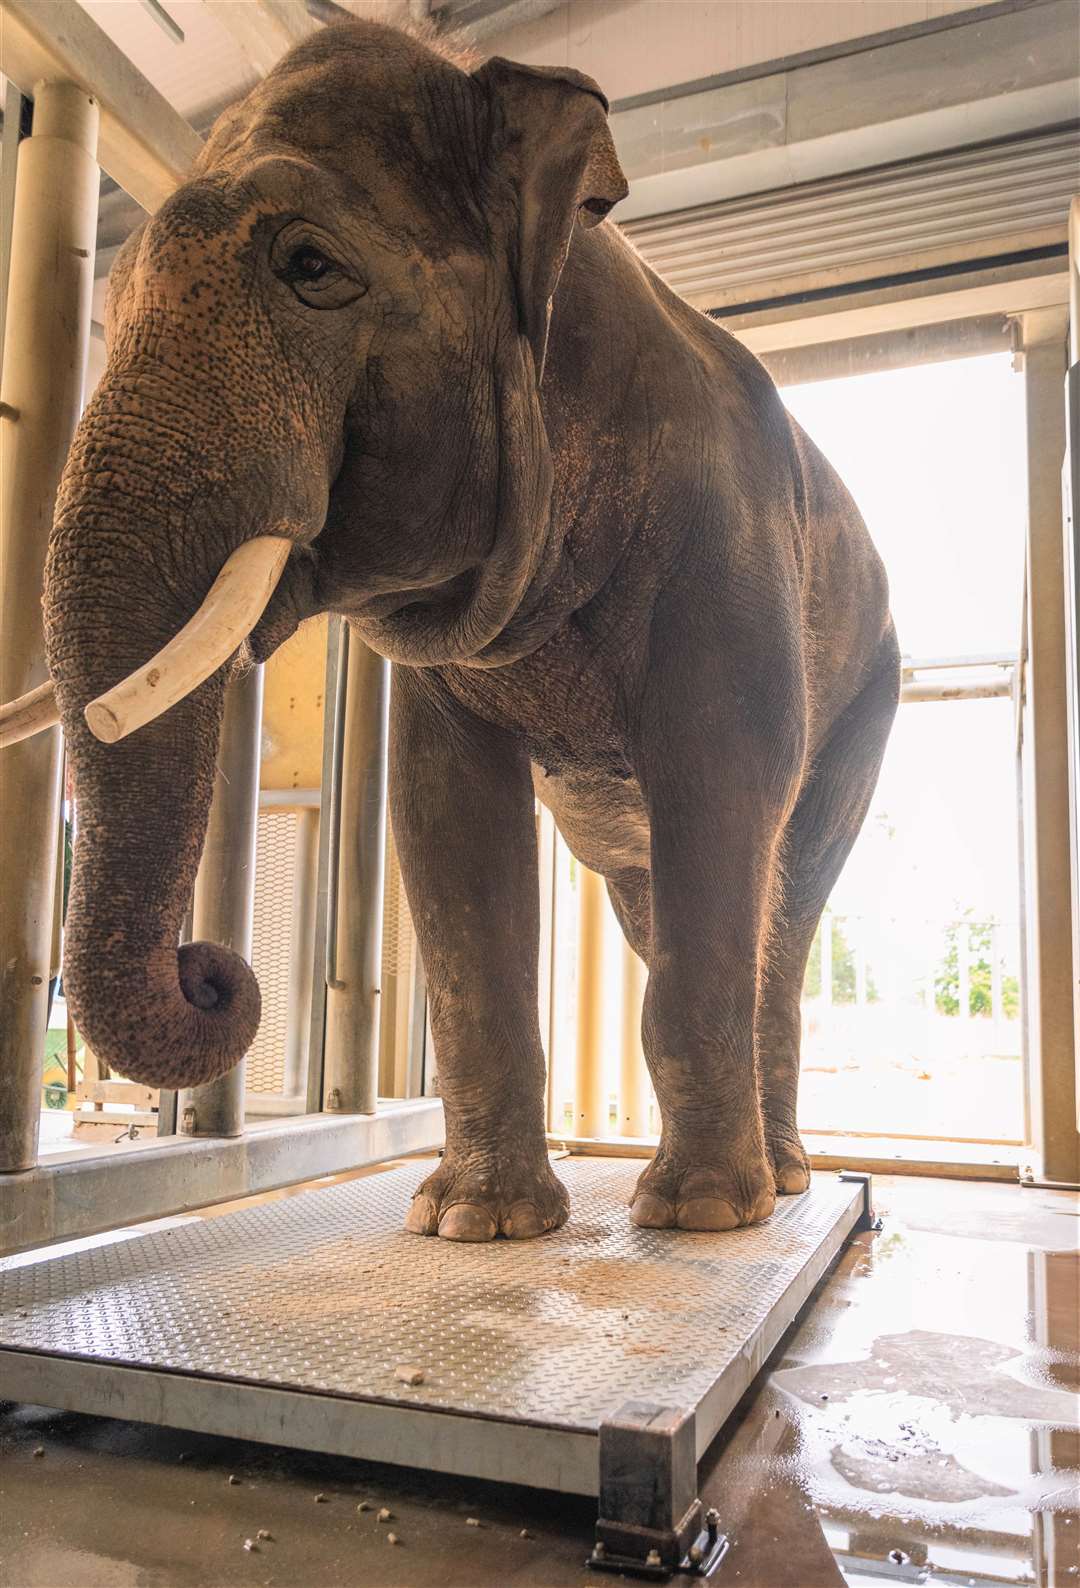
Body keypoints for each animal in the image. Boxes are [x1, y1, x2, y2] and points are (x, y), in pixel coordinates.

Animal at [29, 15, 895, 1238]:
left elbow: (725, 769)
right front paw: (474, 1225)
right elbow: (444, 806)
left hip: (871, 697)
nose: (212, 971)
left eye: (310, 267)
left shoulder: (726, 542)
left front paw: (694, 1219)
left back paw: (777, 1186)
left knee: (787, 891)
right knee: (656, 904)